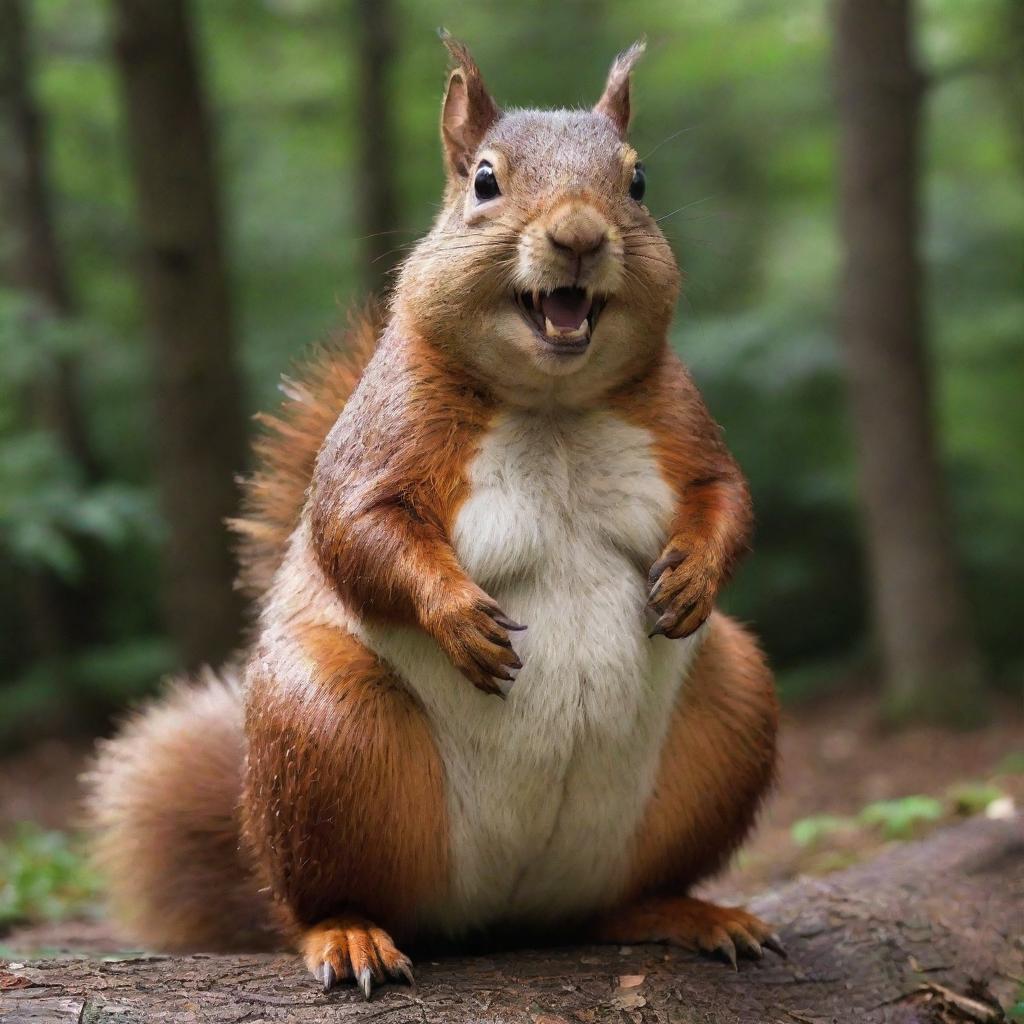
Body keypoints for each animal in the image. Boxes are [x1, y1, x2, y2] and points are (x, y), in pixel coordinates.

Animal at [88, 37, 778, 999]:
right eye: (484, 181)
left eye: (637, 182)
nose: (578, 234)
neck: (552, 404)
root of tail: (508, 910)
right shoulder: (383, 439)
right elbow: (356, 529)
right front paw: (459, 618)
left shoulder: (682, 422)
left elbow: (729, 497)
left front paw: (694, 578)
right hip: (325, 731)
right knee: (319, 900)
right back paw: (346, 933)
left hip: (729, 710)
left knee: (624, 897)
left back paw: (689, 913)